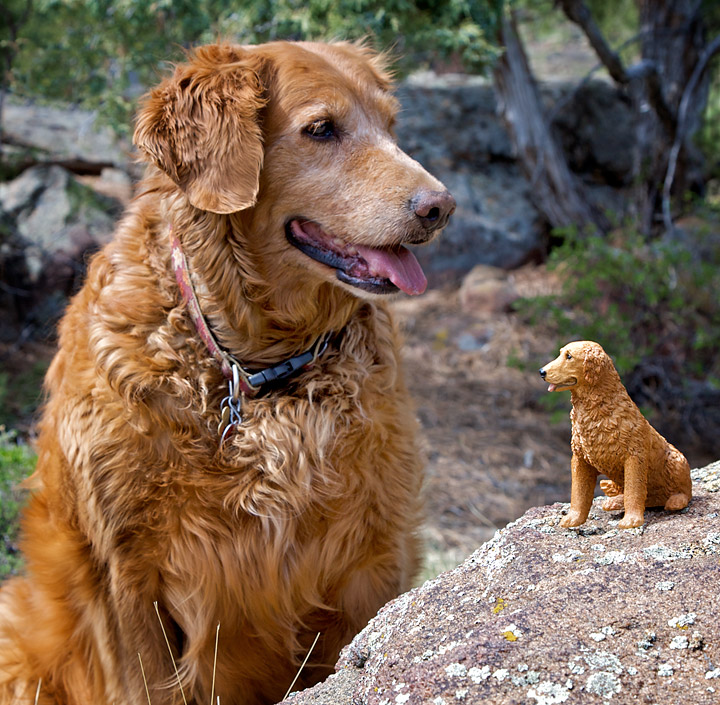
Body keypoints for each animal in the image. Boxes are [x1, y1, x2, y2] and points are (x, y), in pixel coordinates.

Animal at [0, 42, 456, 704]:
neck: (257, 369)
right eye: (322, 129)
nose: (440, 207)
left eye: (390, 126)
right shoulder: (127, 575)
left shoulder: (373, 554)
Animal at [540, 340, 692, 528]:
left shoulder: (635, 456)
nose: (541, 372)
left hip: (676, 460)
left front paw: (631, 520)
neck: (597, 412)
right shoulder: (579, 459)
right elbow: (578, 494)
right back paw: (614, 501)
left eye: (569, 356)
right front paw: (572, 519)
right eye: (560, 353)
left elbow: (634, 491)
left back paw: (675, 501)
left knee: (684, 491)